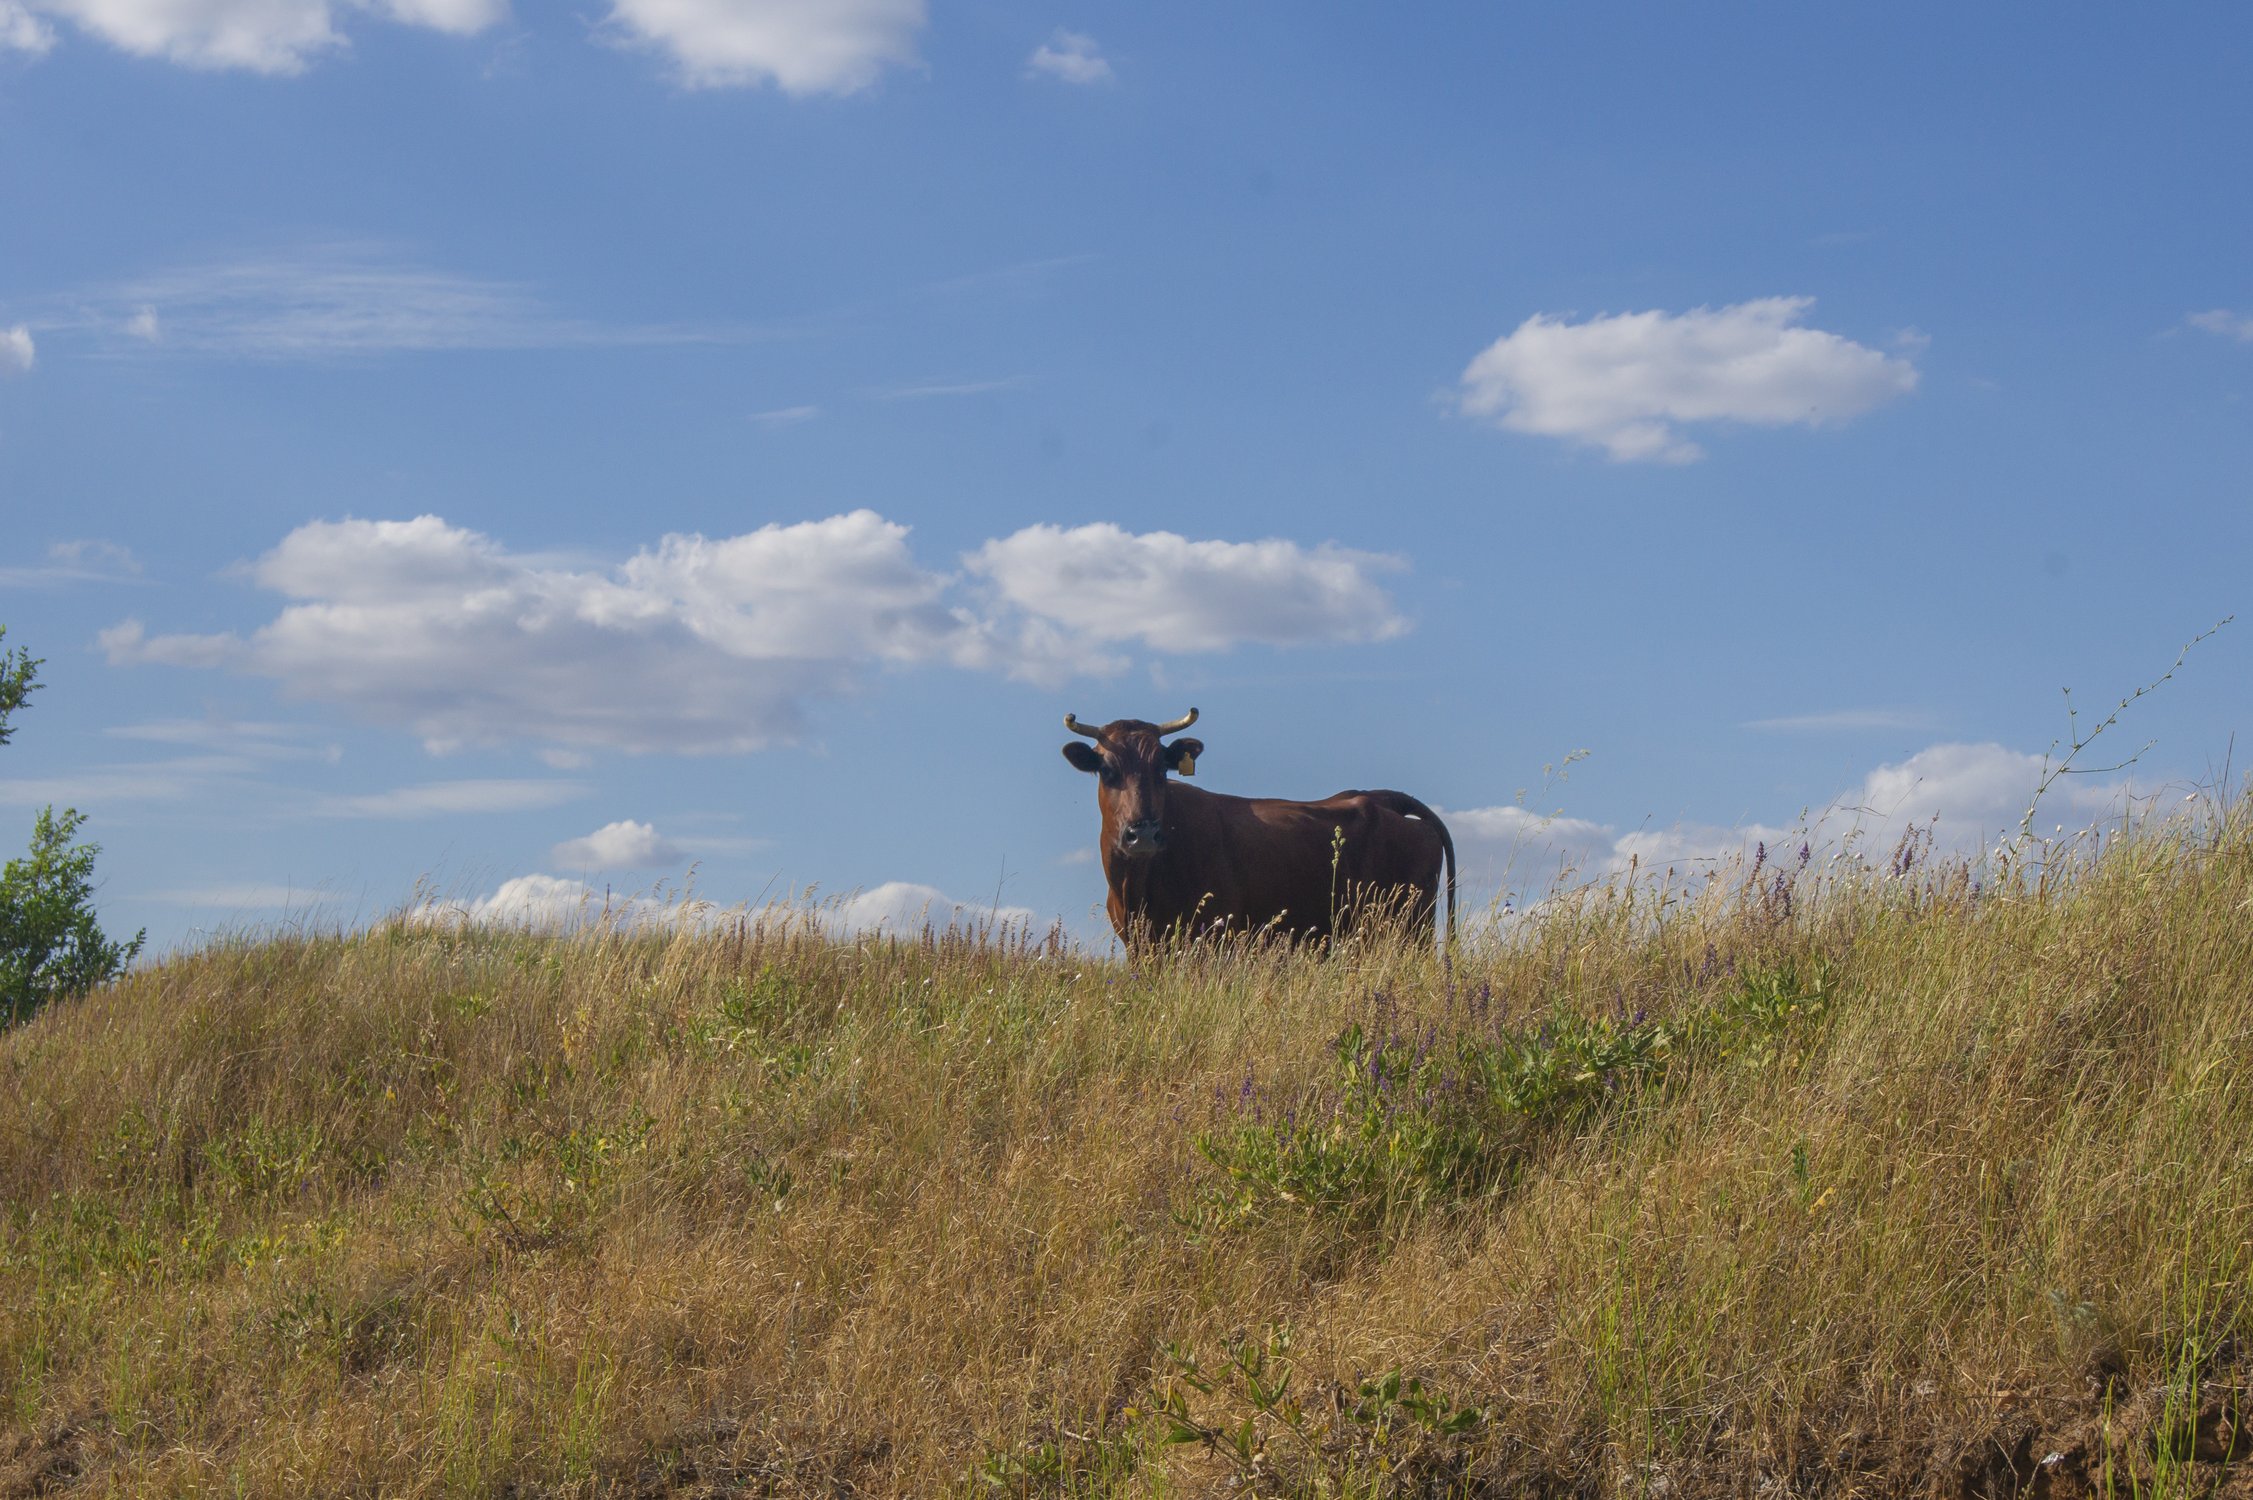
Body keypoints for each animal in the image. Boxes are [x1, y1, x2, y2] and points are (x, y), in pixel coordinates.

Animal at [1058, 702, 1450, 941]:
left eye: (1161, 768)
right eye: (1107, 769)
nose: (1144, 834)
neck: (1137, 884)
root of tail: (1379, 797)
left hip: (1410, 928)